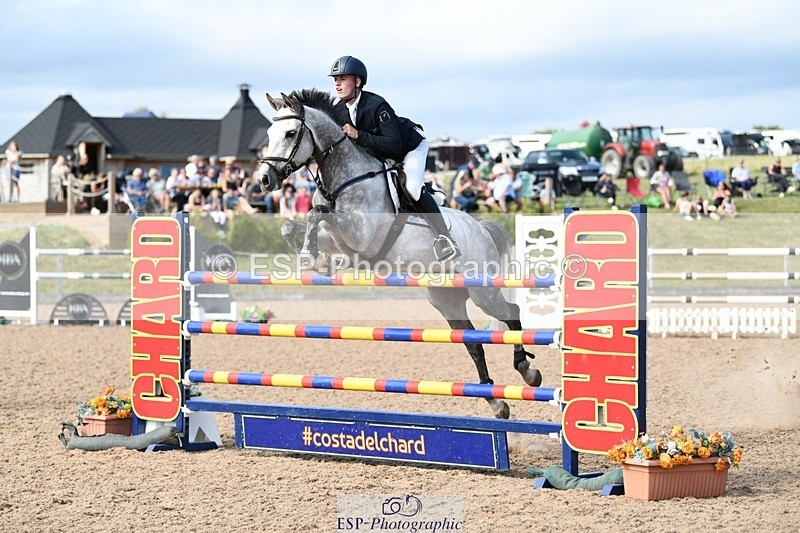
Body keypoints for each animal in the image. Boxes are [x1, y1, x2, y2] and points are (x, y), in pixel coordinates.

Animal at [255, 89, 542, 419]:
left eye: (291, 133)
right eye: (268, 133)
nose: (263, 180)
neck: (344, 179)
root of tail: (481, 228)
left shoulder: (360, 235)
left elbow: (316, 212)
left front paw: (309, 255)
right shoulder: (343, 239)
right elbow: (292, 225)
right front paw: (318, 259)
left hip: (482, 290)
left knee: (511, 314)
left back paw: (527, 371)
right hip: (446, 300)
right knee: (473, 343)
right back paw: (496, 402)